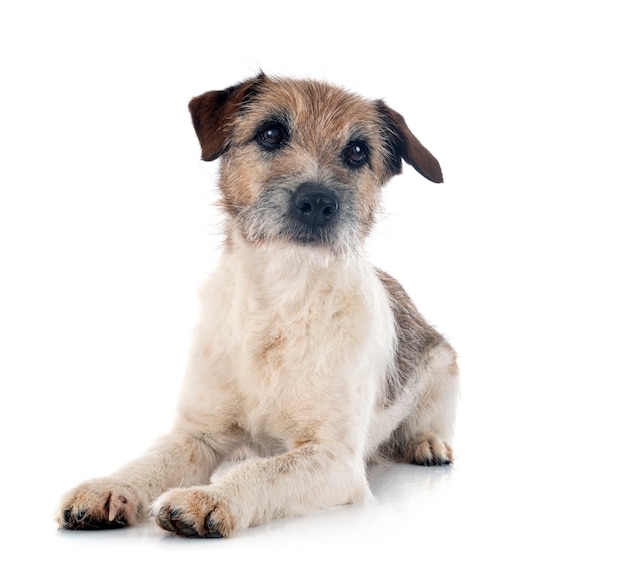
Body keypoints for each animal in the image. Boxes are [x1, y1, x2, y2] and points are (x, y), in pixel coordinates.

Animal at [57, 74, 458, 536]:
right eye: (270, 133)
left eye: (358, 151)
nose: (317, 201)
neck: (280, 299)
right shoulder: (198, 435)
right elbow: (149, 463)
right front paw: (108, 486)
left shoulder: (333, 458)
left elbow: (264, 472)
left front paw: (210, 497)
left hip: (444, 370)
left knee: (428, 423)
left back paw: (428, 442)